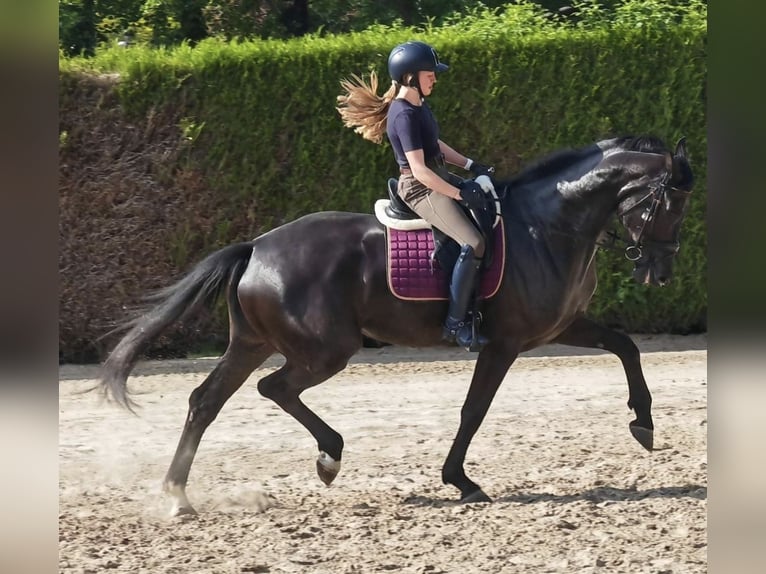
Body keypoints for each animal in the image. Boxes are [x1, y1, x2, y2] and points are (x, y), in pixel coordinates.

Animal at [97, 135, 696, 516]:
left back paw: (178, 497)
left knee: (206, 401)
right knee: (275, 388)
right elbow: (475, 409)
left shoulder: (558, 329)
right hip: (325, 349)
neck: (546, 226)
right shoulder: (504, 343)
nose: (661, 271)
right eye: (671, 204)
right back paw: (329, 455)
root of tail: (257, 247)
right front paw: (461, 481)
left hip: (253, 343)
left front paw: (643, 423)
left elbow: (625, 346)